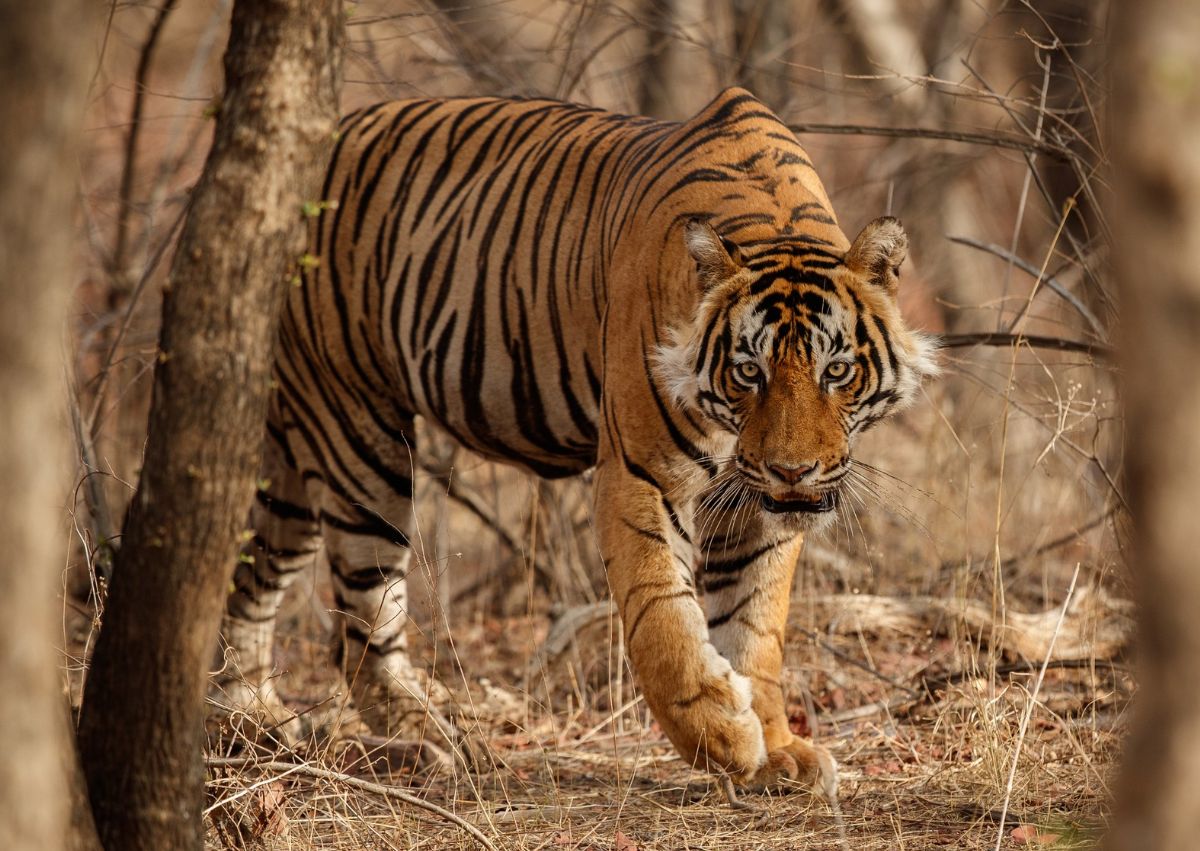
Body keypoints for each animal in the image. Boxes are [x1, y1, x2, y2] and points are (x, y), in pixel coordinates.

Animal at [218, 89, 936, 801]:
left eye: (835, 371)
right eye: (748, 372)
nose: (793, 471)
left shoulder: (754, 504)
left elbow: (755, 624)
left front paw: (777, 750)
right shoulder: (643, 473)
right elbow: (662, 618)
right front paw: (723, 735)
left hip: (294, 454)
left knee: (250, 572)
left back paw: (250, 716)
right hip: (358, 433)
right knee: (361, 619)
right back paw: (439, 743)